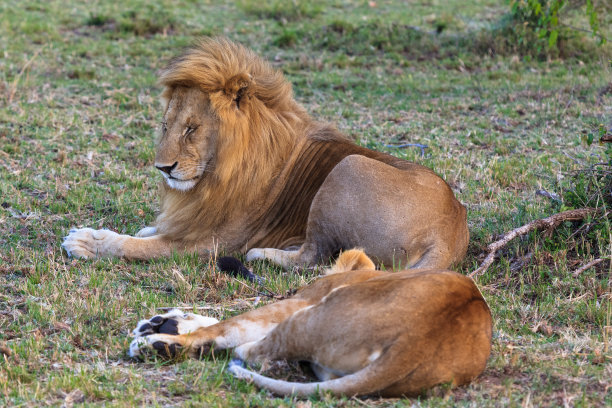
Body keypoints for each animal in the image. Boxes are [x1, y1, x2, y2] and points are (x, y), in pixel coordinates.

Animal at [63, 36, 468, 270]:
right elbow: (156, 229)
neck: (214, 175)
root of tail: (449, 230)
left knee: (313, 257)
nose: (163, 168)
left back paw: (263, 255)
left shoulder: (213, 242)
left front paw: (87, 241)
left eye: (191, 129)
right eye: (166, 126)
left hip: (348, 167)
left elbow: (141, 246)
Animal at [129, 250, 492, 396]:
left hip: (307, 315)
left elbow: (229, 326)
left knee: (250, 350)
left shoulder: (299, 300)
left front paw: (162, 330)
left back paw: (156, 347)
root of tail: (415, 344)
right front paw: (165, 322)